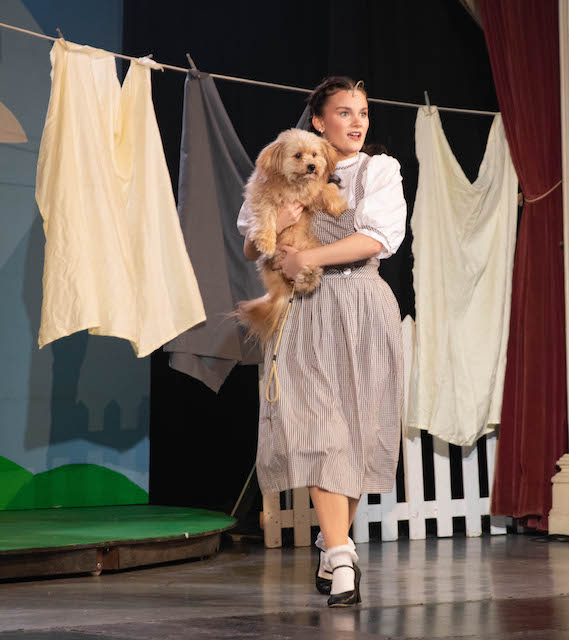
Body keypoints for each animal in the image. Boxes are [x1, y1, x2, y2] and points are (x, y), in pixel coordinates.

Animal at [236, 128, 347, 344]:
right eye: (298, 155)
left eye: (315, 154)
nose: (312, 166)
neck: (293, 186)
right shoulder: (262, 199)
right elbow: (265, 217)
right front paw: (266, 242)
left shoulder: (310, 198)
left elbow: (327, 188)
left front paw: (338, 204)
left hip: (309, 251)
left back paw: (308, 276)